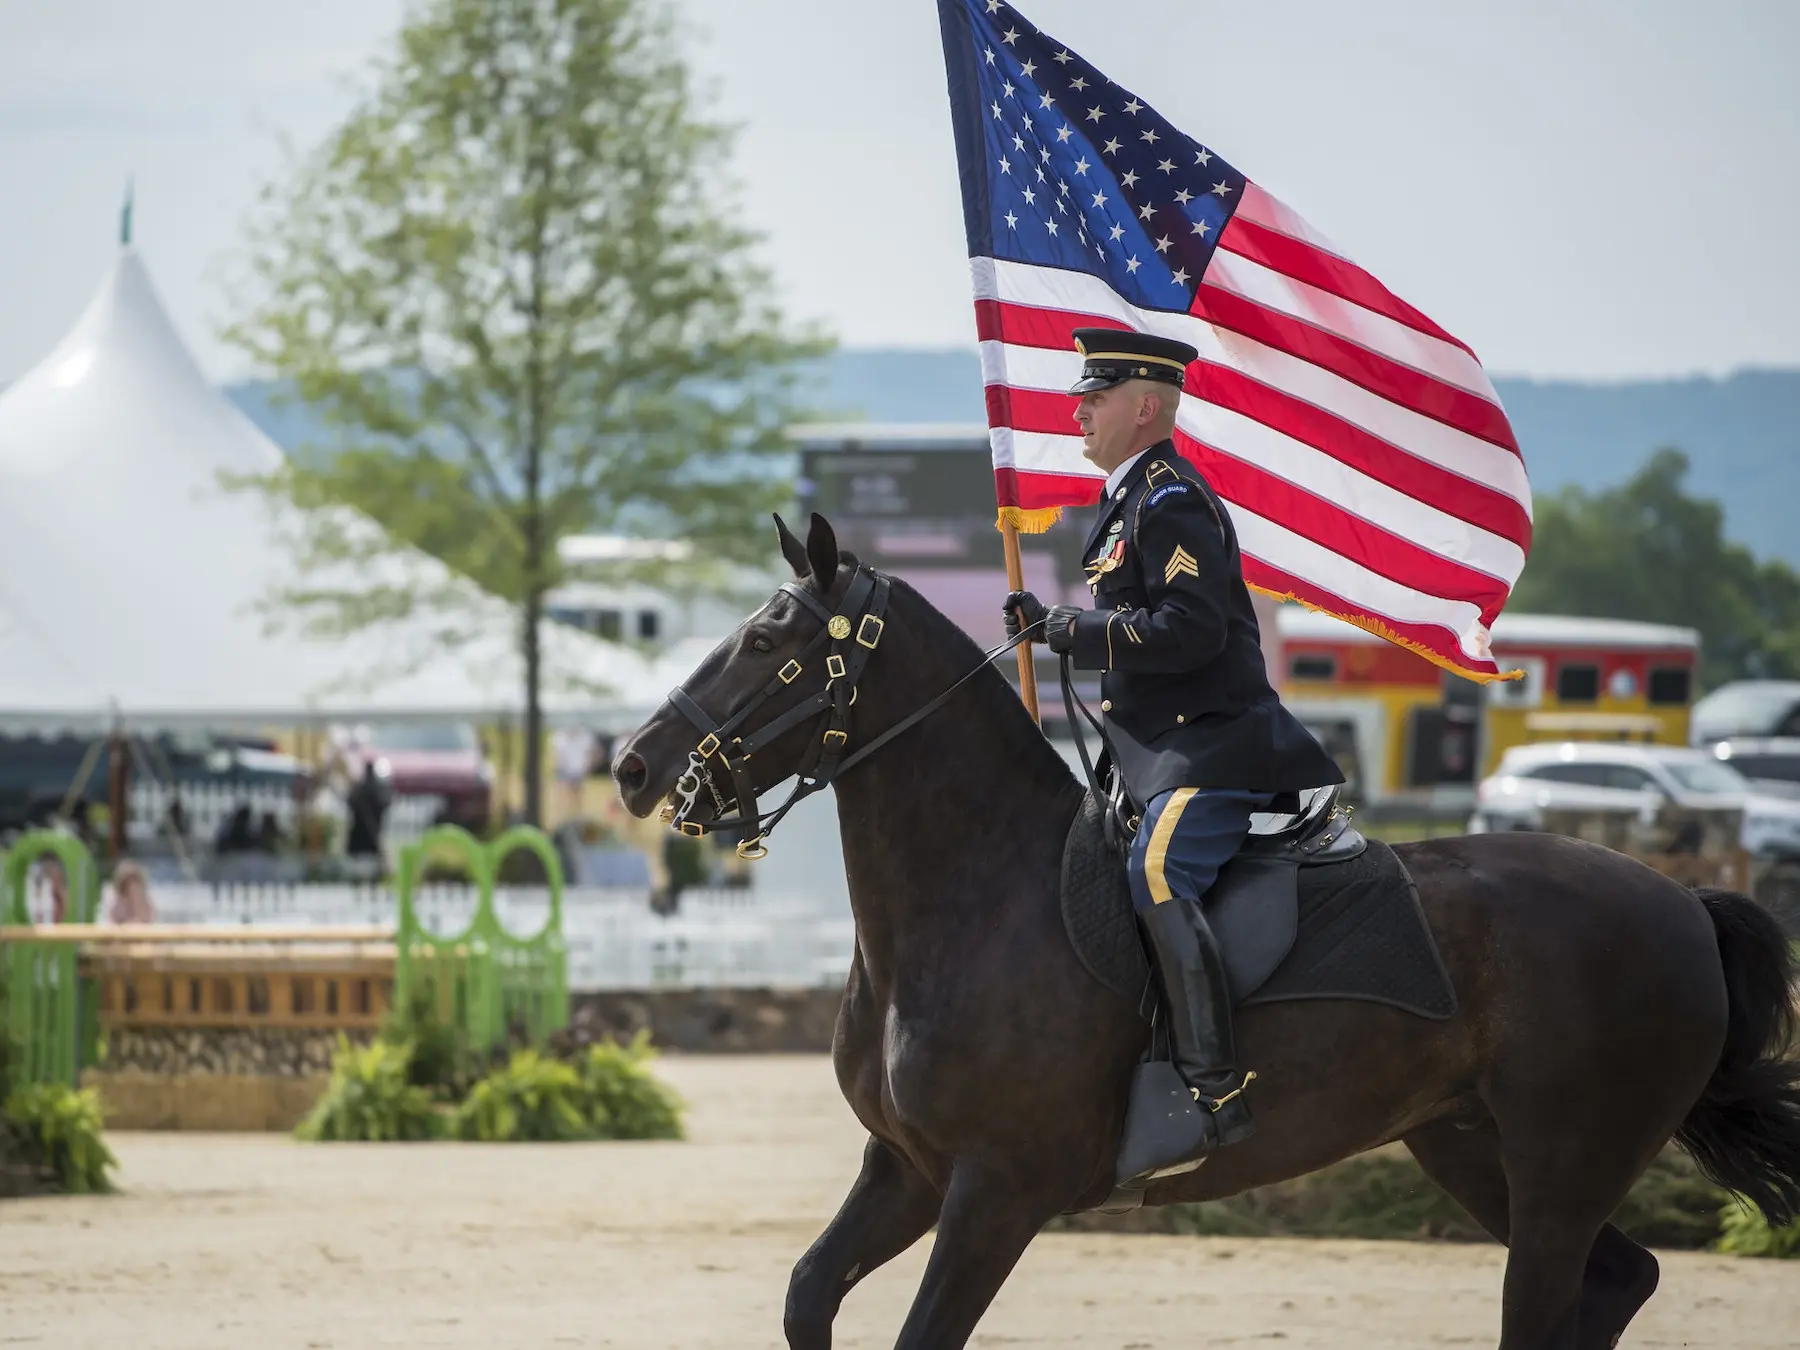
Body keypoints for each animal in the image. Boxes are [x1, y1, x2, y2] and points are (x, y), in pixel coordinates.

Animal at [615, 518, 1800, 1350]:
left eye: (769, 641)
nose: (634, 766)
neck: (977, 896)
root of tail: (1680, 901)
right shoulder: (905, 1169)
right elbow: (807, 1295)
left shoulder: (997, 1193)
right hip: (1470, 1147)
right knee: (1619, 1281)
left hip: (1561, 1170)